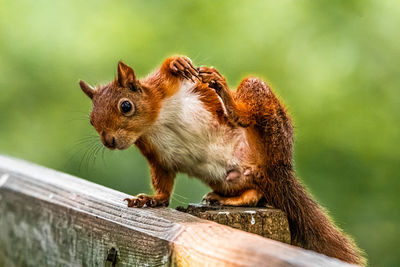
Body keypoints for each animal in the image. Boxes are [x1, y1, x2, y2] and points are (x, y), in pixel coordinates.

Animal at [79, 56, 366, 266]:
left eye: (126, 106)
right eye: (91, 121)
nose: (109, 141)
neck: (154, 122)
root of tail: (276, 169)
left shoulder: (162, 88)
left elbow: (167, 70)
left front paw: (177, 63)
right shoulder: (156, 155)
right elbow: (163, 182)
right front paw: (151, 199)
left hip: (269, 126)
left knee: (248, 115)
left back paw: (231, 104)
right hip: (230, 177)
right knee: (256, 193)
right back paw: (226, 198)